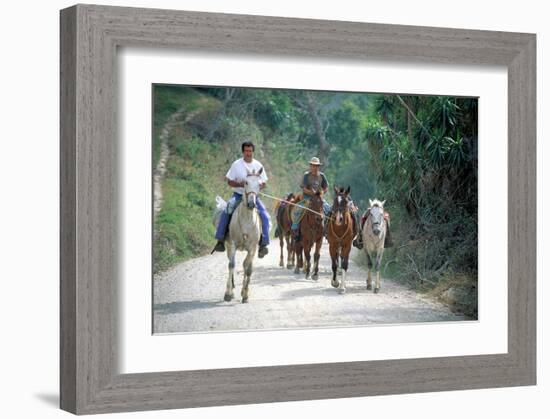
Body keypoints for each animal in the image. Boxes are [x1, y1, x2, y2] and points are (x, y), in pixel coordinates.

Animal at [224, 169, 264, 304]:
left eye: (260, 184)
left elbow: (248, 268)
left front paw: (245, 295)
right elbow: (231, 265)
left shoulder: (252, 248)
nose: (252, 203)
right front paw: (228, 294)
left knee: (245, 265)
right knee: (231, 262)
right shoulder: (233, 244)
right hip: (228, 245)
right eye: (245, 182)